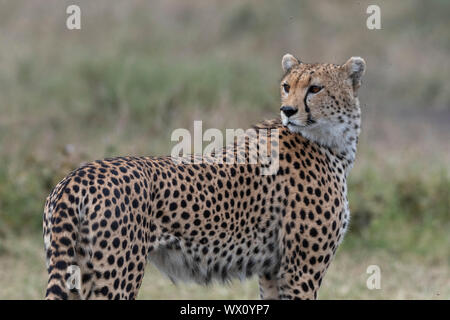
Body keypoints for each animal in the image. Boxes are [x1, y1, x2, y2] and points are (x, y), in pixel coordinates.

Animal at [42, 53, 366, 298]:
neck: (332, 142)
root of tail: (78, 174)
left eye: (315, 89)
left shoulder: (273, 271)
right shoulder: (300, 271)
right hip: (116, 275)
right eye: (287, 86)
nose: (288, 110)